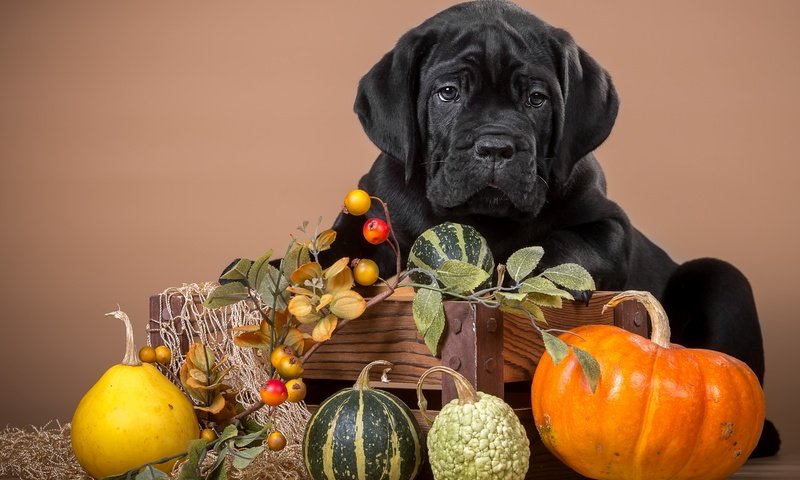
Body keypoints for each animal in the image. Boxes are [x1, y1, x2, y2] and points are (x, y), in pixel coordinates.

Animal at [320, 0, 780, 458]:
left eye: (536, 99)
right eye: (447, 92)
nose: (496, 147)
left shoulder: (611, 225)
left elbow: (567, 239)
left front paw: (546, 278)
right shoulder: (374, 208)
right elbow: (339, 247)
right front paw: (328, 289)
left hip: (724, 277)